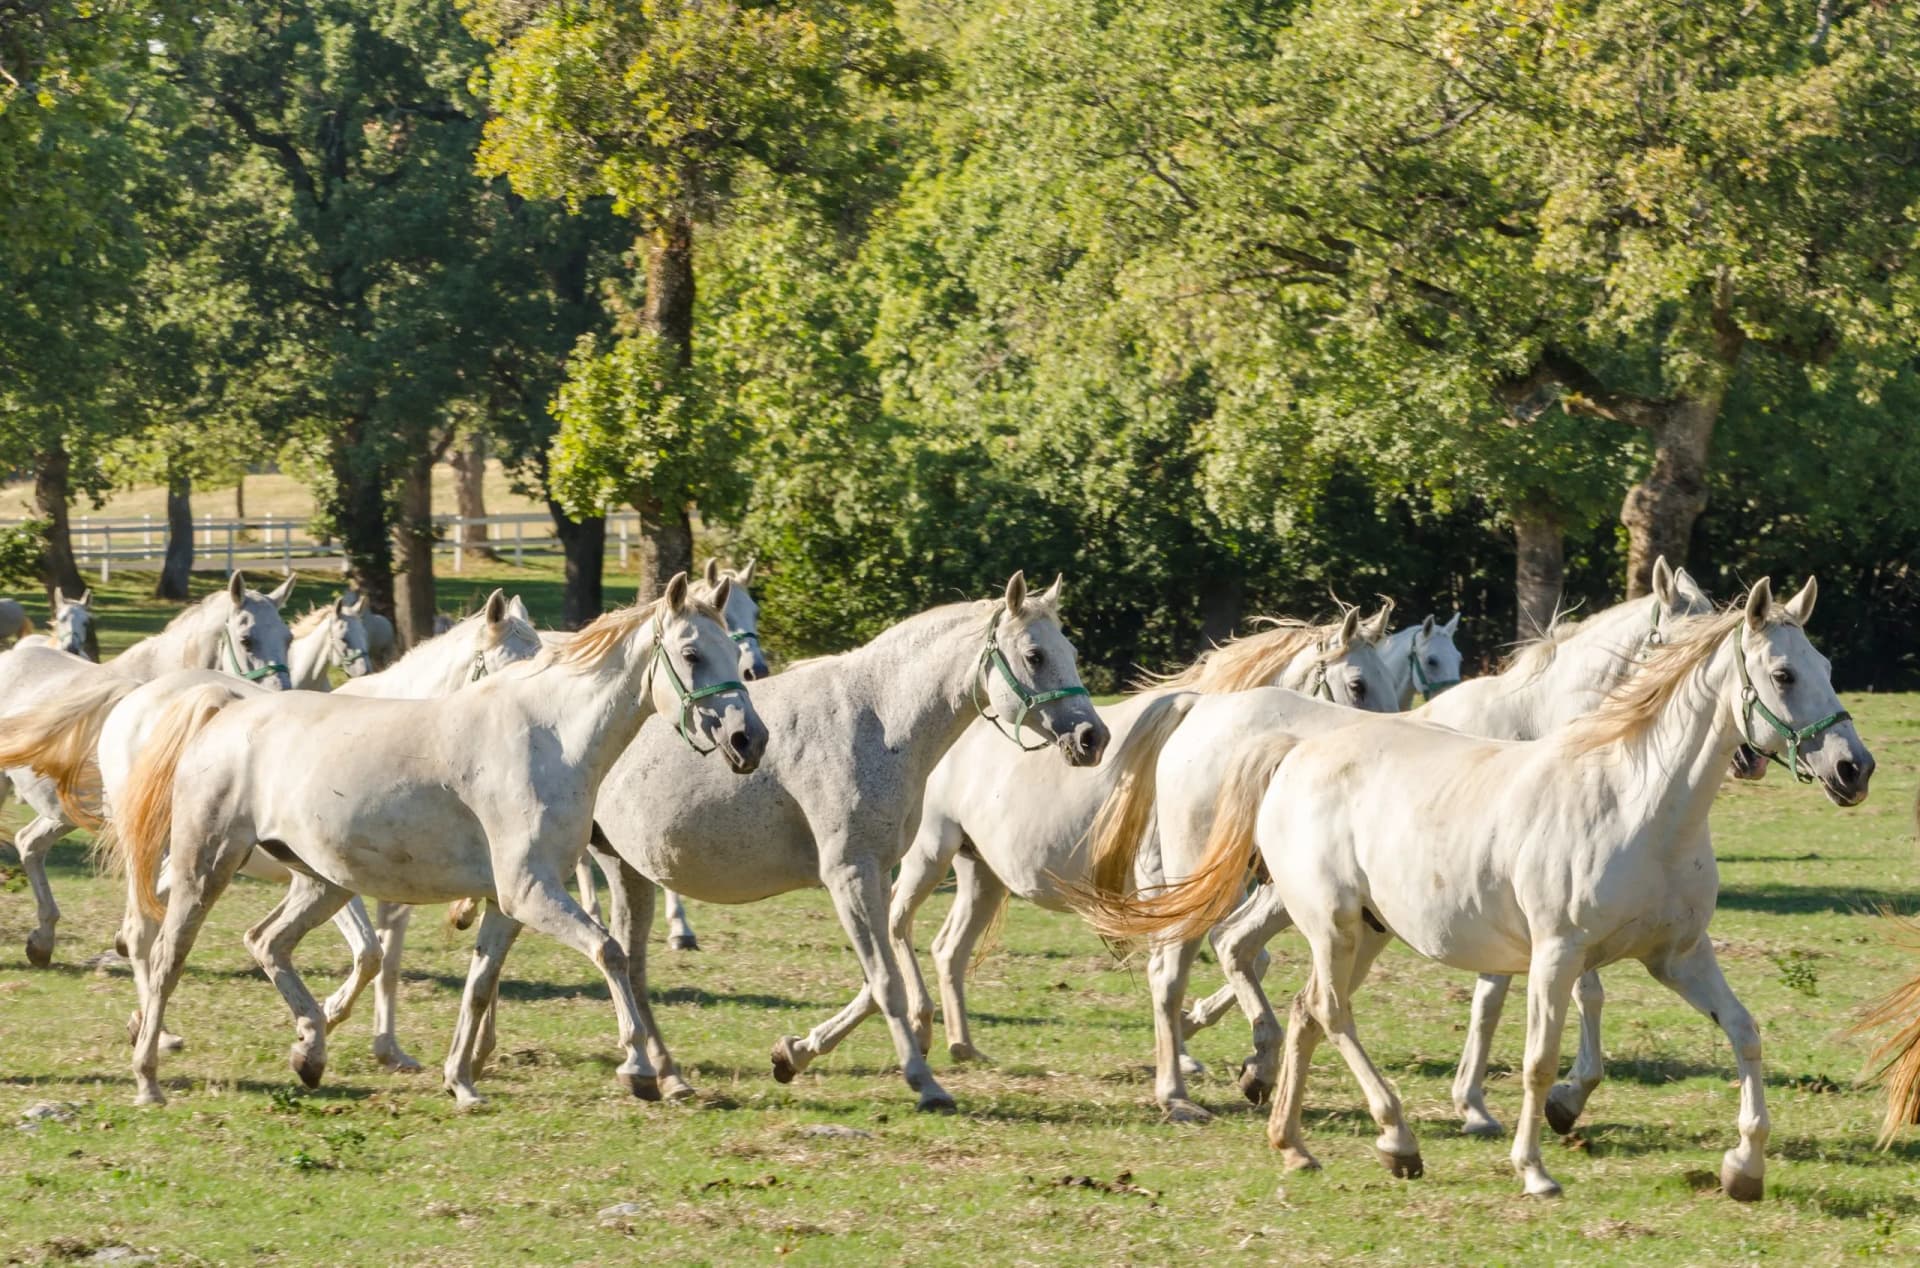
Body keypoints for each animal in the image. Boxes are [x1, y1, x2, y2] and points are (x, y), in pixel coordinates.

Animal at [0, 571, 295, 966]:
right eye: (246, 639)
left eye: (289, 637)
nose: (284, 696)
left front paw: (123, 942)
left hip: (61, 813)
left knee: (29, 843)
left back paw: (42, 941)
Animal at [110, 573, 764, 1107]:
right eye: (691, 653)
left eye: (733, 650)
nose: (748, 739)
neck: (548, 738)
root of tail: (224, 711)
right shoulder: (532, 892)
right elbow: (610, 951)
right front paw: (641, 1069)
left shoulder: (508, 901)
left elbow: (478, 987)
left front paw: (462, 1081)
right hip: (204, 870)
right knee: (164, 954)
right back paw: (148, 1075)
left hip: (321, 884)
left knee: (267, 942)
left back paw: (310, 1051)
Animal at [503, 573, 1107, 1114]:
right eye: (1035, 656)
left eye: (1071, 651)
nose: (1092, 737)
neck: (878, 720)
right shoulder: (849, 873)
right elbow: (885, 980)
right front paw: (925, 1083)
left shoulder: (876, 873)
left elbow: (877, 976)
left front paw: (792, 1053)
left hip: (628, 869)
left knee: (629, 963)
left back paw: (666, 1077)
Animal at [854, 604, 1394, 1124]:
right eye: (1357, 684)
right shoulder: (1164, 887)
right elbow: (1188, 962)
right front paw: (1189, 1058)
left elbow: (1244, 956)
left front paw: (1200, 1041)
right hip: (929, 855)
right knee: (899, 923)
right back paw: (921, 1026)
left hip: (982, 875)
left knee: (949, 948)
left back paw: (962, 1045)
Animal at [1087, 577, 1871, 1201]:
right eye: (1782, 674)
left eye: (1828, 666)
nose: (1852, 767)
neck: (1637, 801)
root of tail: (1291, 752)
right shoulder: (1556, 954)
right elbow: (1536, 1057)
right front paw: (1533, 1164)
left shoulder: (1677, 957)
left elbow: (1744, 1034)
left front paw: (1745, 1167)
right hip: (1320, 921)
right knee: (1284, 996)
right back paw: (1377, 1133)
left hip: (1362, 932)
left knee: (1300, 1003)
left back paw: (1294, 1141)